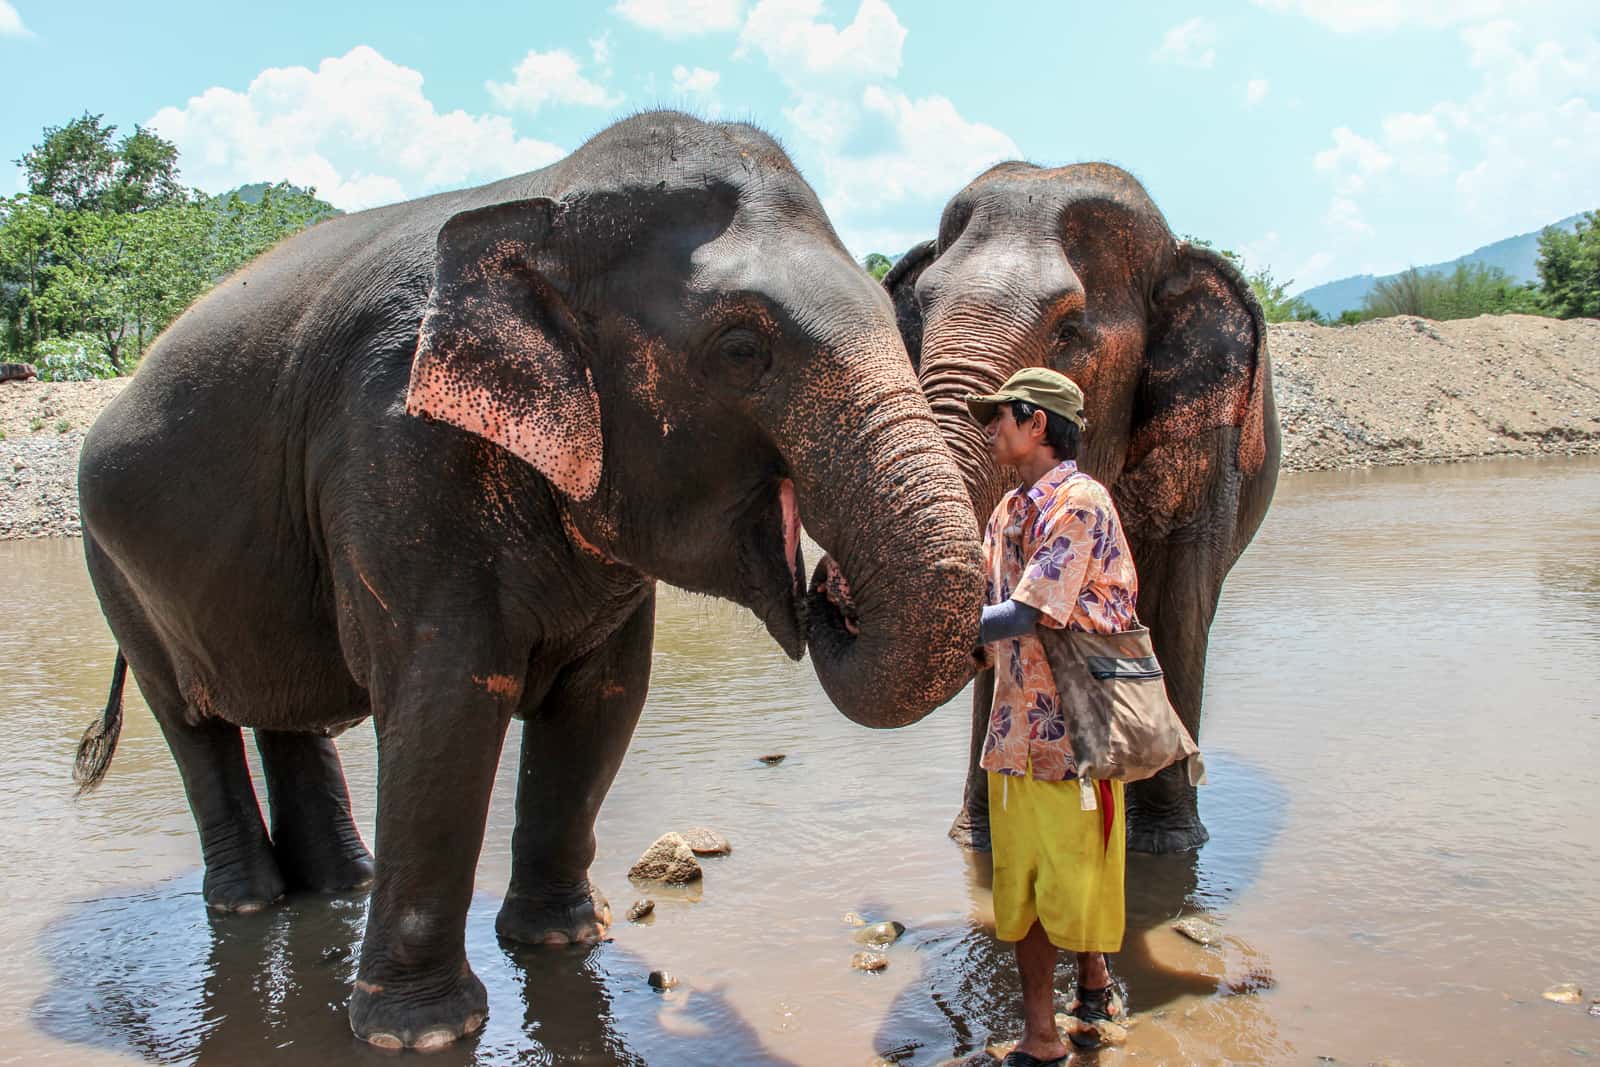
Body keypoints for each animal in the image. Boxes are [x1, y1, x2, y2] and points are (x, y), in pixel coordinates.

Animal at [75, 110, 985, 1049]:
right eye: (741, 349)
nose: (826, 590)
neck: (544, 200)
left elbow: (603, 703)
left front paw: (564, 941)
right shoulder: (392, 453)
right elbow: (447, 706)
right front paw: (421, 1033)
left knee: (286, 712)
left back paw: (337, 885)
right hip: (112, 569)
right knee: (193, 722)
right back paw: (253, 902)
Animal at [883, 158, 1280, 857]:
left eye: (1068, 333)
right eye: (923, 310)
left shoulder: (1209, 443)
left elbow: (1181, 600)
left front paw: (1167, 849)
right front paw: (978, 843)